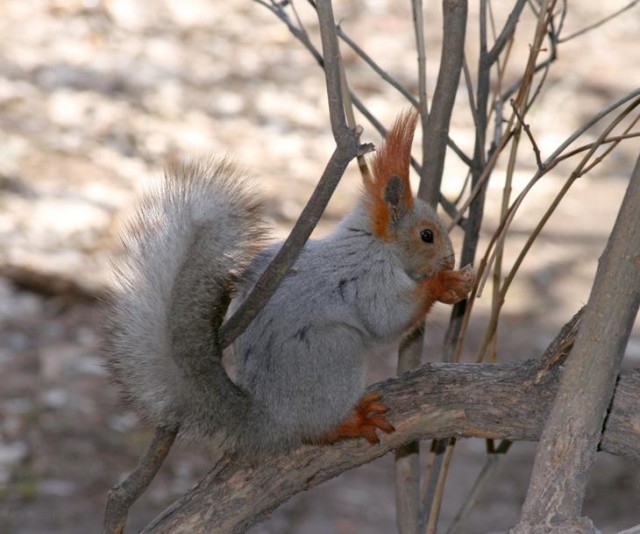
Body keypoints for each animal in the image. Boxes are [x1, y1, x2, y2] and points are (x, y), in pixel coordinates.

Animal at [105, 110, 476, 460]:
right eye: (426, 235)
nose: (450, 259)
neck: (374, 243)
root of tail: (269, 420)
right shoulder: (369, 278)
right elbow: (387, 319)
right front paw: (446, 283)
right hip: (332, 351)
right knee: (316, 430)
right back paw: (352, 422)